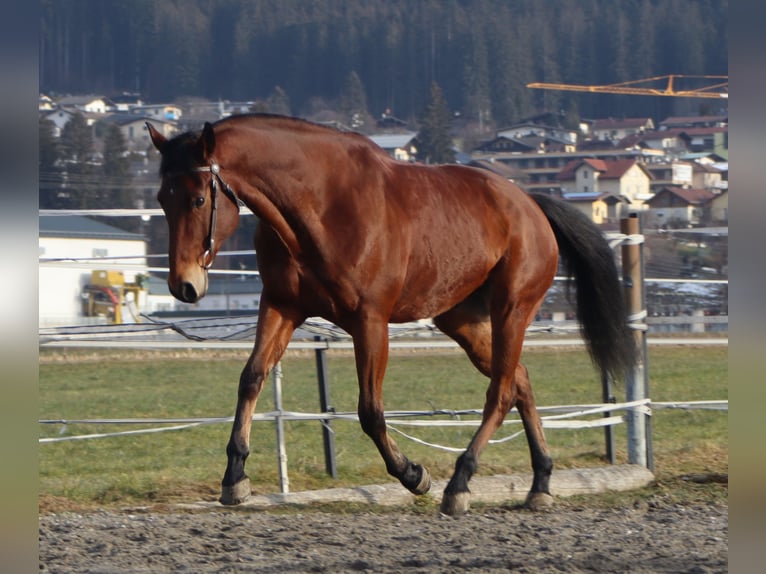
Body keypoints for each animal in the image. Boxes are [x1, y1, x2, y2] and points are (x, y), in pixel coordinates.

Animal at [147, 113, 640, 516]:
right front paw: (235, 479)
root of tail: (531, 203)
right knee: (519, 379)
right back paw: (540, 484)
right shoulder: (282, 306)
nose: (184, 286)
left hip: (512, 310)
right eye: (162, 198)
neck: (319, 205)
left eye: (197, 200)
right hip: (461, 320)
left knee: (500, 392)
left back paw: (459, 485)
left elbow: (370, 410)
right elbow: (251, 378)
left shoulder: (370, 320)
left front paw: (413, 475)